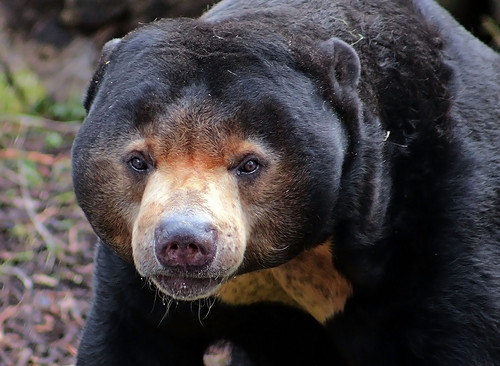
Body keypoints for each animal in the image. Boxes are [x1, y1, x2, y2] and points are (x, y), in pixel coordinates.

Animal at [73, 0, 500, 364]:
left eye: (249, 164)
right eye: (138, 160)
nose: (183, 242)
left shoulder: (445, 213)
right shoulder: (132, 267)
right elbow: (130, 337)